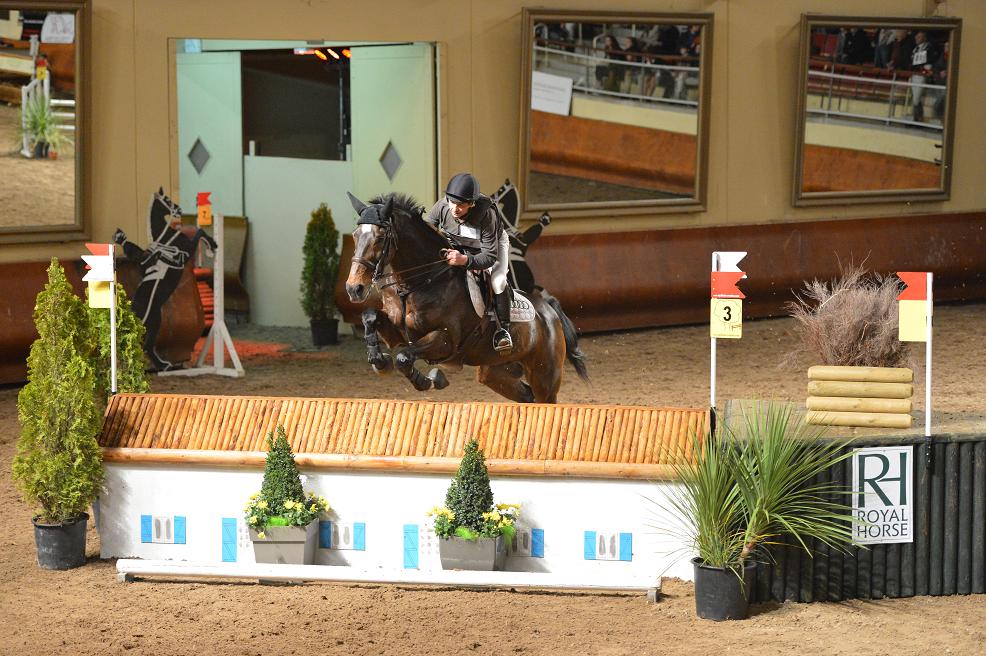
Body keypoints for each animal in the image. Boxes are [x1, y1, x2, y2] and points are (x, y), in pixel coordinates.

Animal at [342, 192, 588, 402]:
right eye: (355, 236)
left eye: (380, 237)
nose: (354, 289)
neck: (417, 283)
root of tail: (548, 310)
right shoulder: (398, 332)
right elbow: (370, 316)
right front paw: (379, 362)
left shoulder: (445, 341)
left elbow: (404, 357)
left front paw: (430, 380)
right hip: (495, 372)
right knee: (527, 397)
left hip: (544, 376)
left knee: (543, 399)